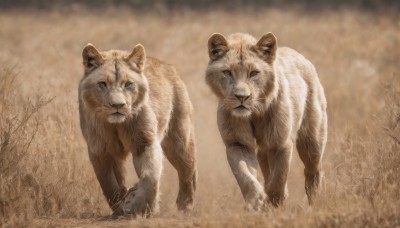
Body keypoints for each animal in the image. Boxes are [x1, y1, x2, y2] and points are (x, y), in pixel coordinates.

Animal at [78, 43, 197, 217]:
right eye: (102, 84)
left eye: (128, 84)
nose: (118, 105)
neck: (116, 125)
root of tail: (168, 66)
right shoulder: (99, 149)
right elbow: (108, 184)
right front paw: (120, 207)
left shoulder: (144, 142)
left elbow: (150, 176)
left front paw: (140, 206)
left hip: (180, 141)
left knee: (188, 171)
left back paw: (185, 205)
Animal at [206, 32, 328, 210]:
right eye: (227, 72)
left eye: (254, 73)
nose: (241, 97)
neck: (255, 113)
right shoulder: (237, 143)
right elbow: (245, 175)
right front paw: (257, 200)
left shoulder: (281, 143)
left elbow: (278, 178)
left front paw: (274, 200)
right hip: (264, 149)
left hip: (311, 141)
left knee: (313, 170)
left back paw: (315, 203)